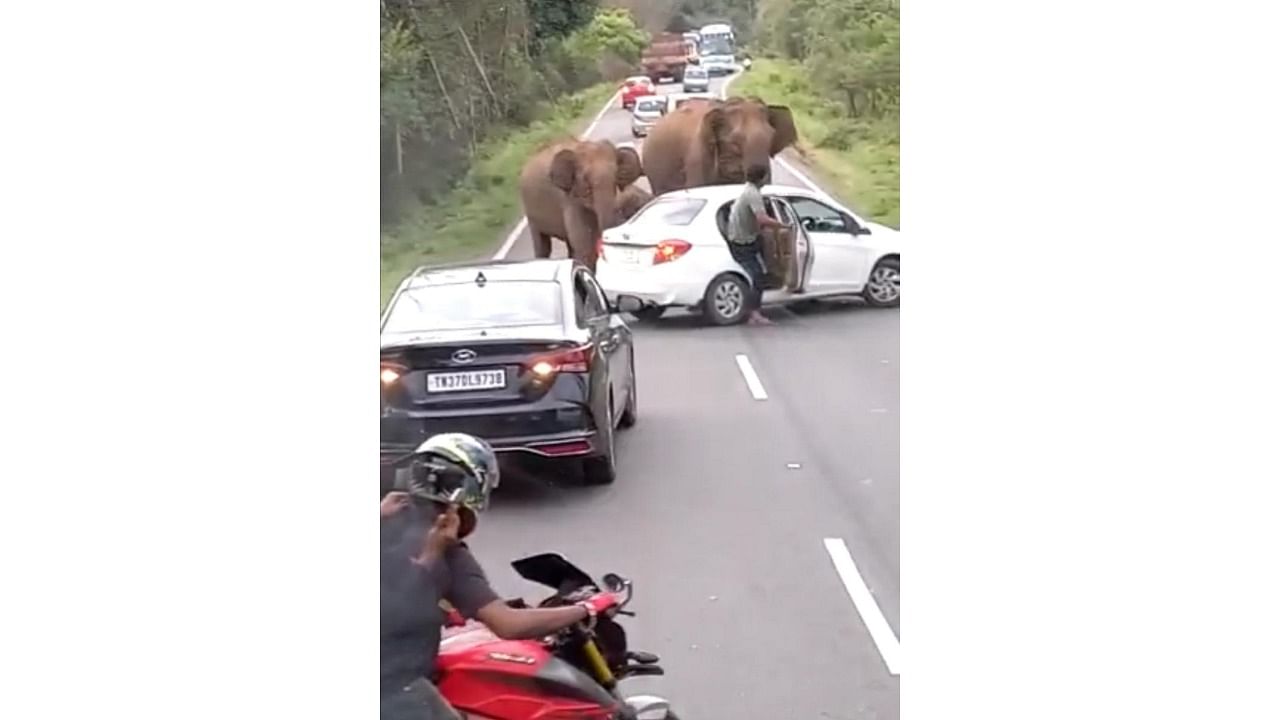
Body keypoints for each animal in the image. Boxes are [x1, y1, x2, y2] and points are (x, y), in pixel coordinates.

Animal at [517, 139, 645, 272]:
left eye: (616, 176)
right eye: (586, 181)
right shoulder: (569, 199)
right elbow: (586, 248)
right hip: (531, 213)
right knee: (543, 245)